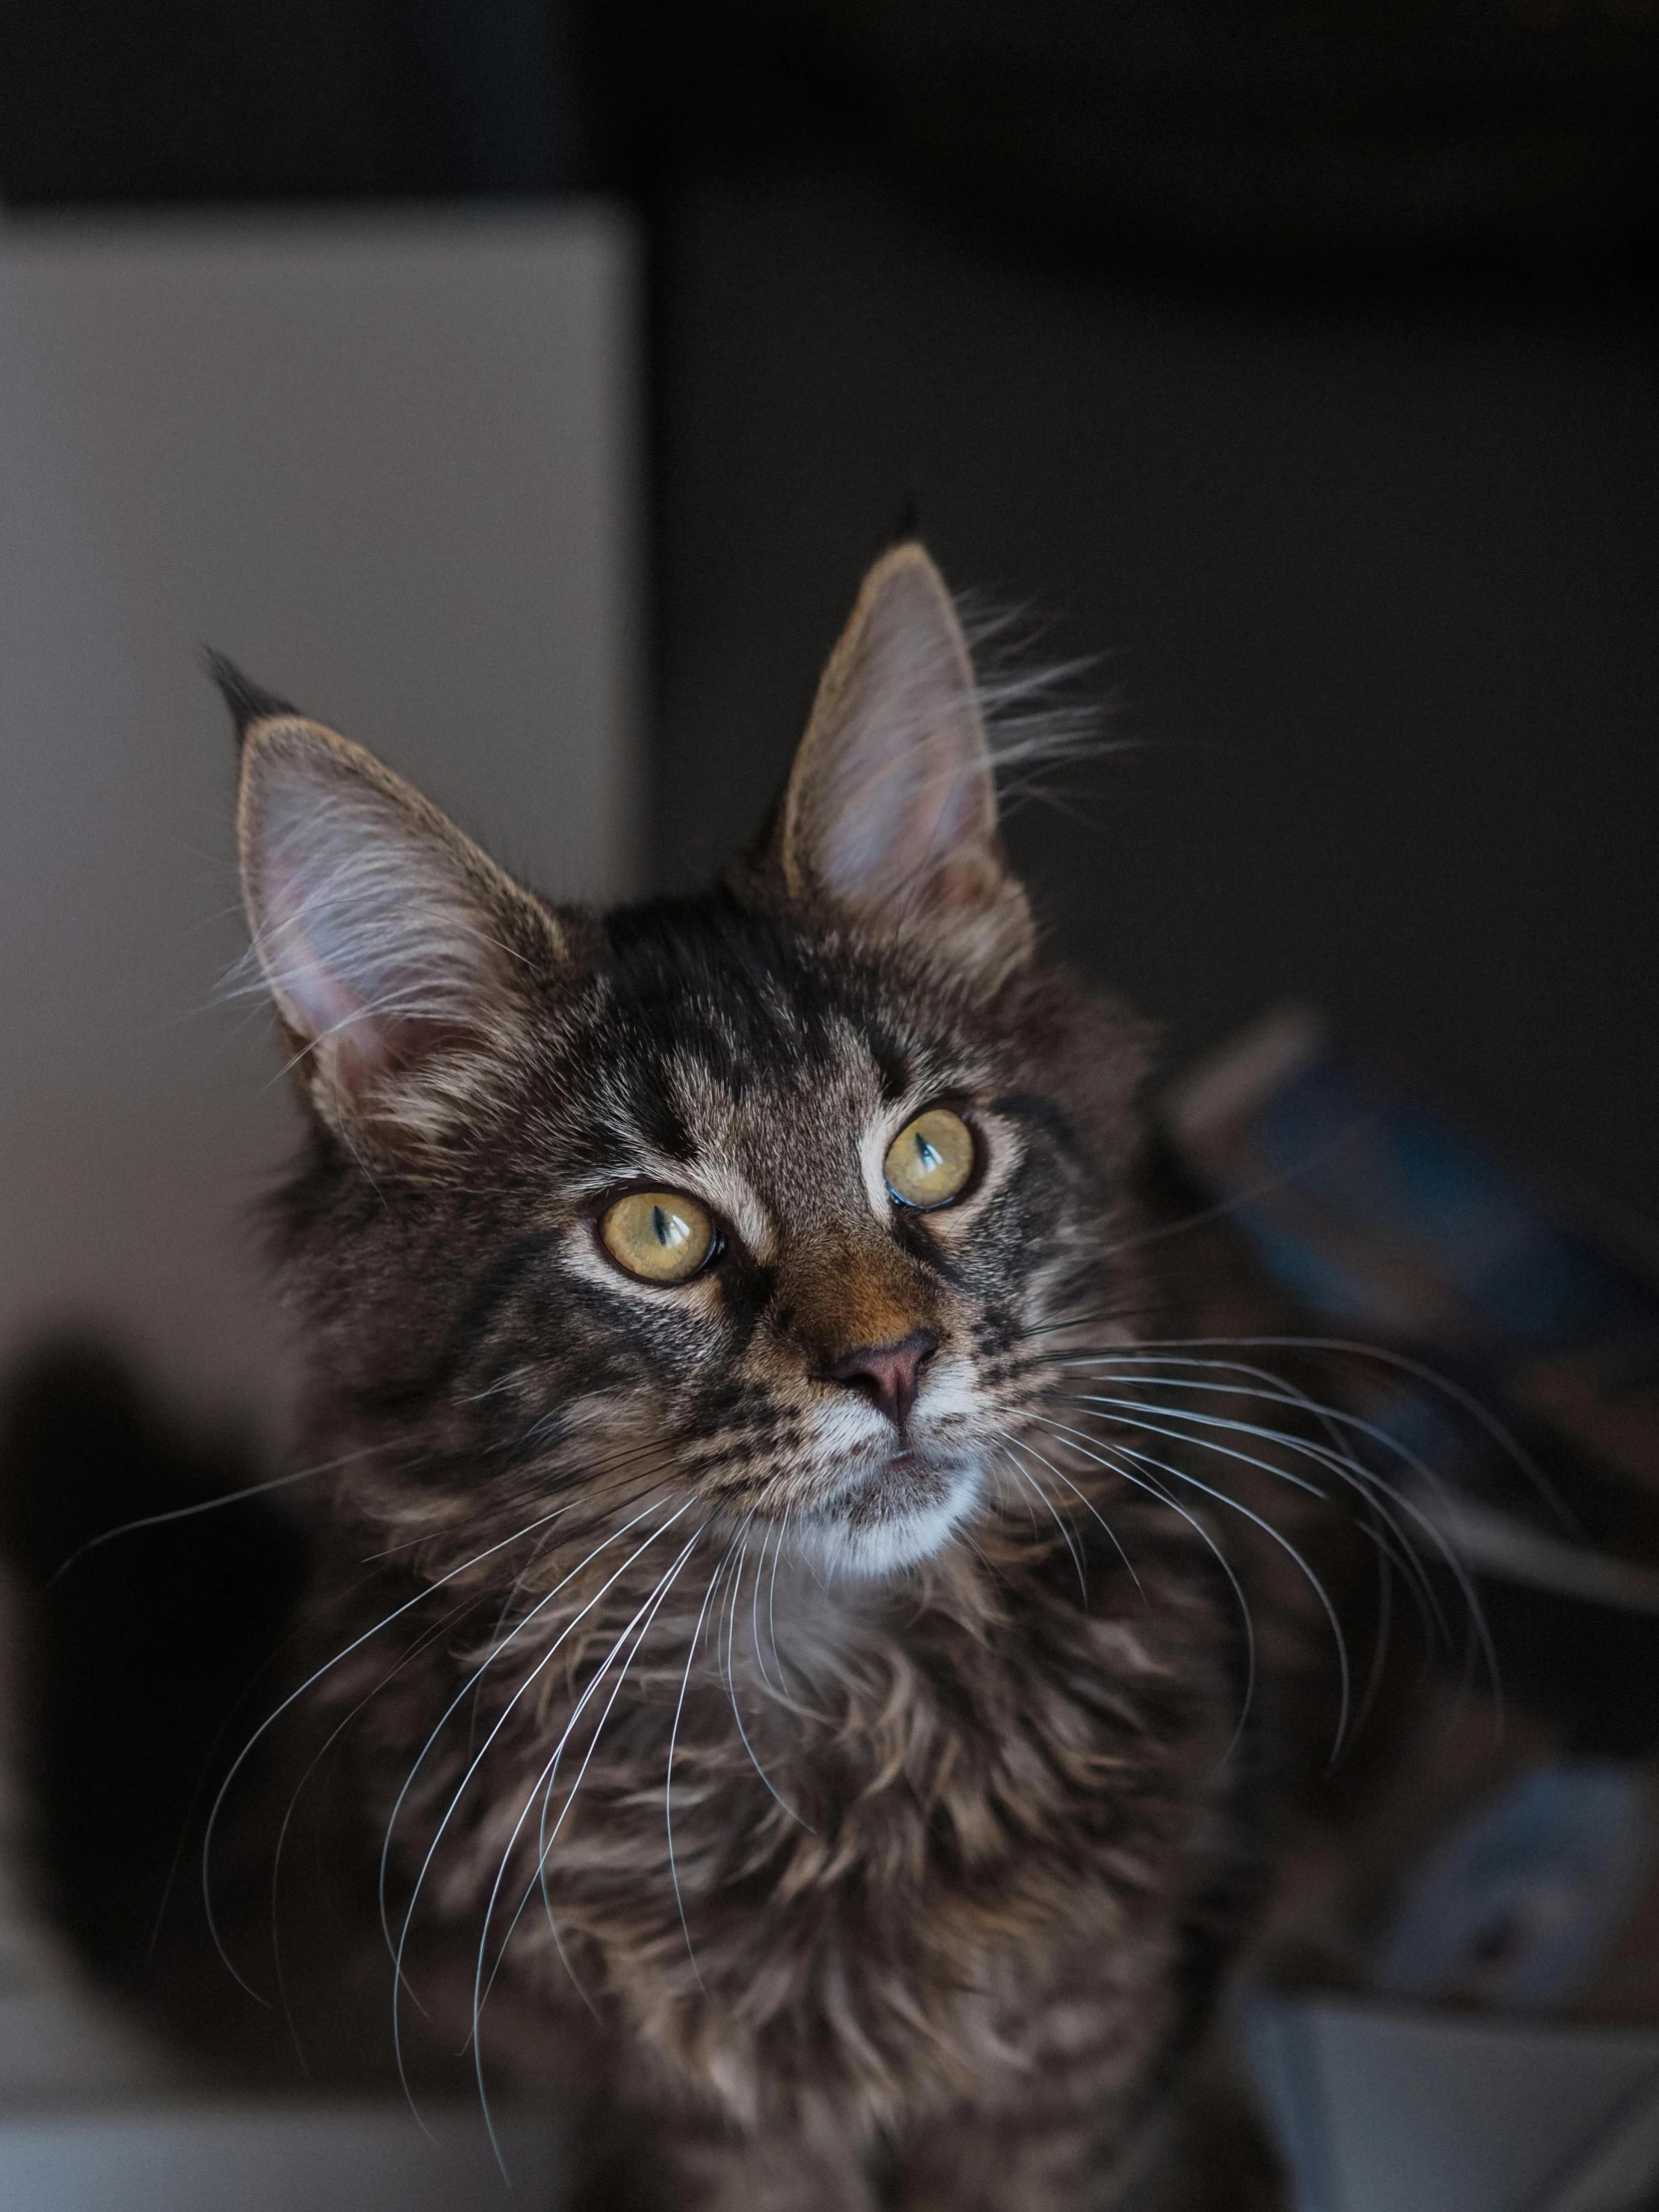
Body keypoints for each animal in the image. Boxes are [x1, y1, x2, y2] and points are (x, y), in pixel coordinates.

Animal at [0, 539, 1380, 2212]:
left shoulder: (1078, 2069)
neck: (839, 1722)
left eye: (934, 1153)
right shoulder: (691, 2109)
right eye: (654, 1233)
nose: (893, 1361)